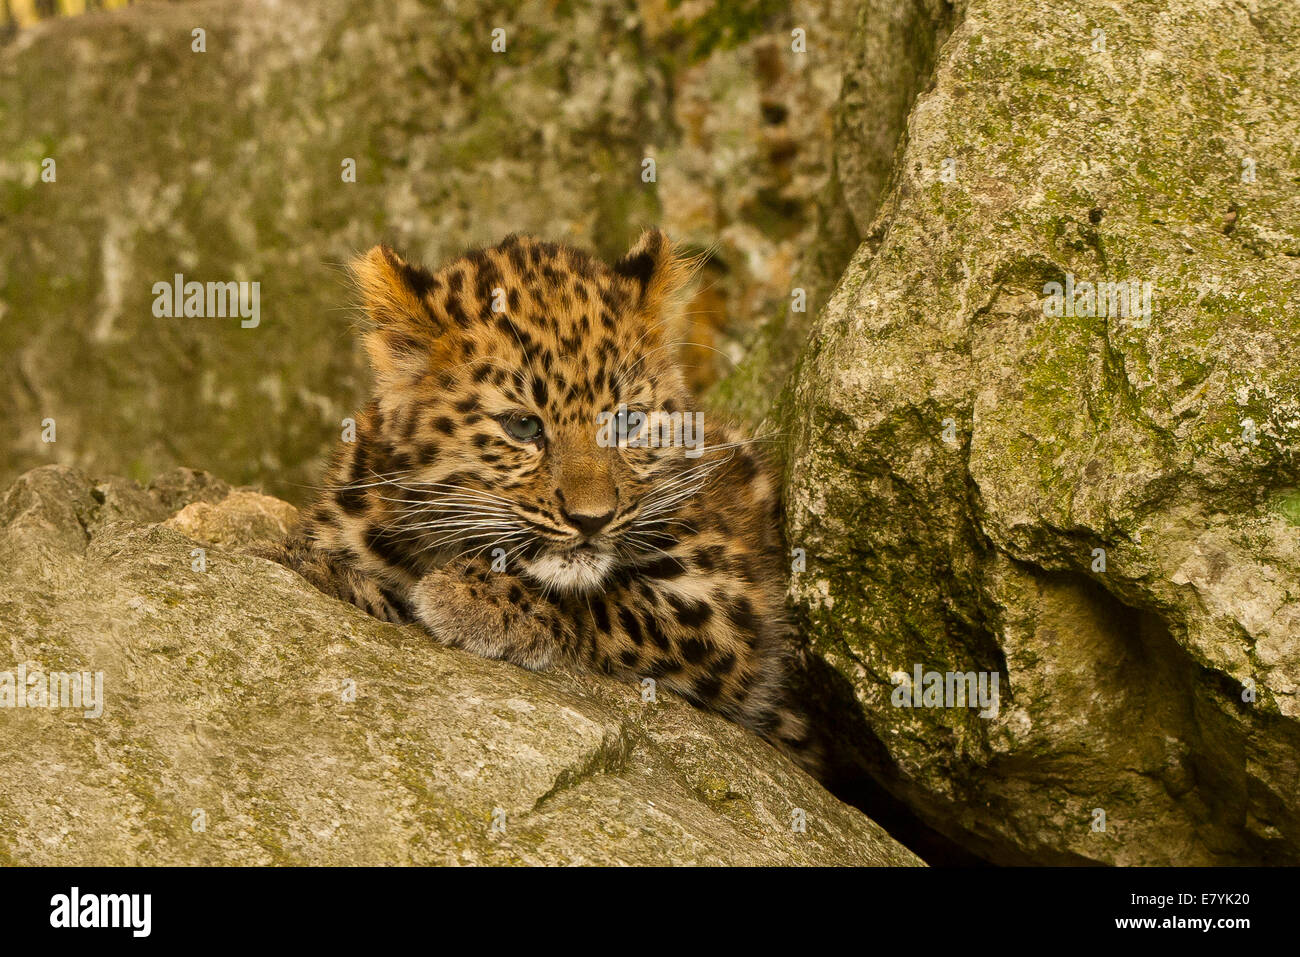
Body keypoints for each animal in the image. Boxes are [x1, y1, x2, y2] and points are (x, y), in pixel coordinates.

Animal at [272, 229, 817, 771]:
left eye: (628, 423)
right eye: (523, 427)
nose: (592, 520)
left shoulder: (730, 602)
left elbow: (612, 598)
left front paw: (478, 598)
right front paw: (323, 573)